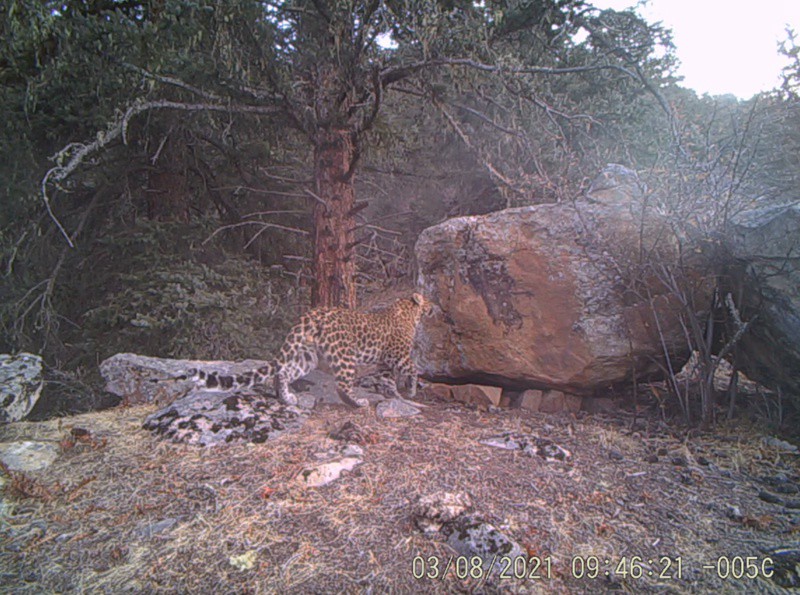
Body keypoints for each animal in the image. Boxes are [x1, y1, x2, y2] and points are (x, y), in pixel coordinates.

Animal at [184, 294, 432, 410]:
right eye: (429, 302)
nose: (434, 307)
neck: (411, 313)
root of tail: (311, 314)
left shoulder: (384, 363)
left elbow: (388, 380)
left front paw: (397, 395)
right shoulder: (398, 356)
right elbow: (413, 369)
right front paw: (411, 392)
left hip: (307, 355)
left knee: (283, 372)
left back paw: (286, 399)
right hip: (344, 354)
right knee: (341, 384)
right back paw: (357, 403)